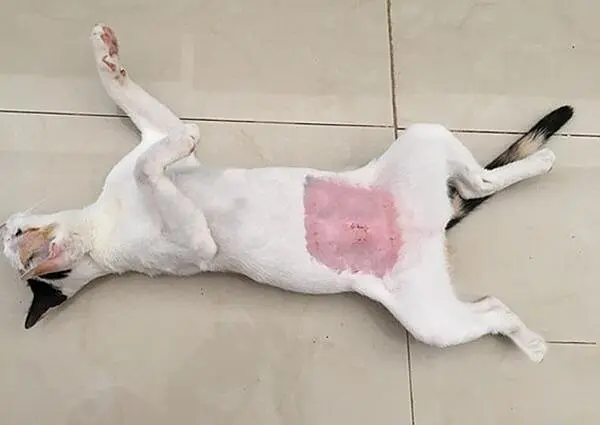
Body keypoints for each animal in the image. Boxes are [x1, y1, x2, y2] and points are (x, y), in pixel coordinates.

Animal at [1, 24, 573, 362]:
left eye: (11, 230)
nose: (6, 226)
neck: (101, 224)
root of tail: (430, 229)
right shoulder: (195, 244)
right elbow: (153, 167)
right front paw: (185, 138)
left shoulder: (155, 138)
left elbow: (143, 122)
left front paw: (107, 52)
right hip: (430, 320)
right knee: (491, 300)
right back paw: (534, 344)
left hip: (423, 137)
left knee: (481, 181)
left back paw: (541, 163)